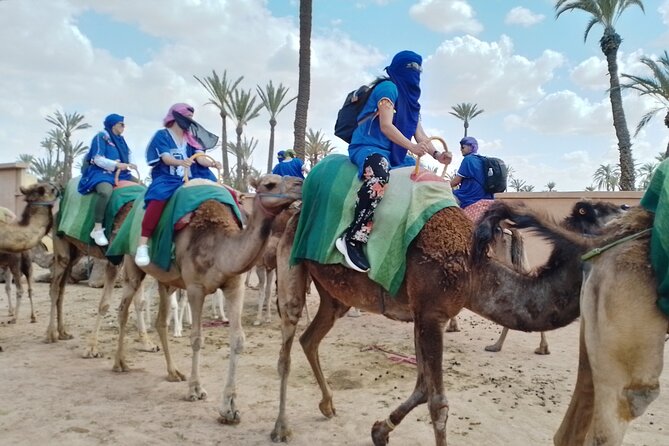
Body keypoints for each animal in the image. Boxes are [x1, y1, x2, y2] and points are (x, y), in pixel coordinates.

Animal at [115, 172, 302, 424]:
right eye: (269, 184)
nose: (300, 183)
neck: (218, 247)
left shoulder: (235, 285)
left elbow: (238, 340)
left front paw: (230, 408)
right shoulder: (195, 288)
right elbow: (196, 338)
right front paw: (195, 390)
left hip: (166, 281)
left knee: (161, 320)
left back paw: (173, 372)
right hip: (133, 264)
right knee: (123, 307)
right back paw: (120, 363)